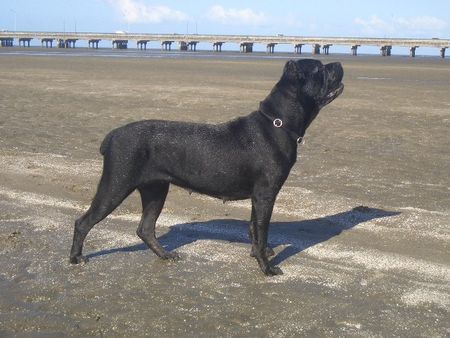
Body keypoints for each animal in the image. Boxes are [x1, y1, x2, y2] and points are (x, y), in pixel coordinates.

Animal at [71, 58, 344, 274]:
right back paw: (76, 258)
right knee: (84, 222)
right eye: (319, 68)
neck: (277, 124)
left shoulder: (258, 196)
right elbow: (262, 229)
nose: (339, 63)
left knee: (145, 229)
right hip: (116, 184)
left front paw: (259, 253)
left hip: (155, 189)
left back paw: (165, 255)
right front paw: (266, 268)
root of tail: (112, 136)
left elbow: (254, 228)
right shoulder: (266, 194)